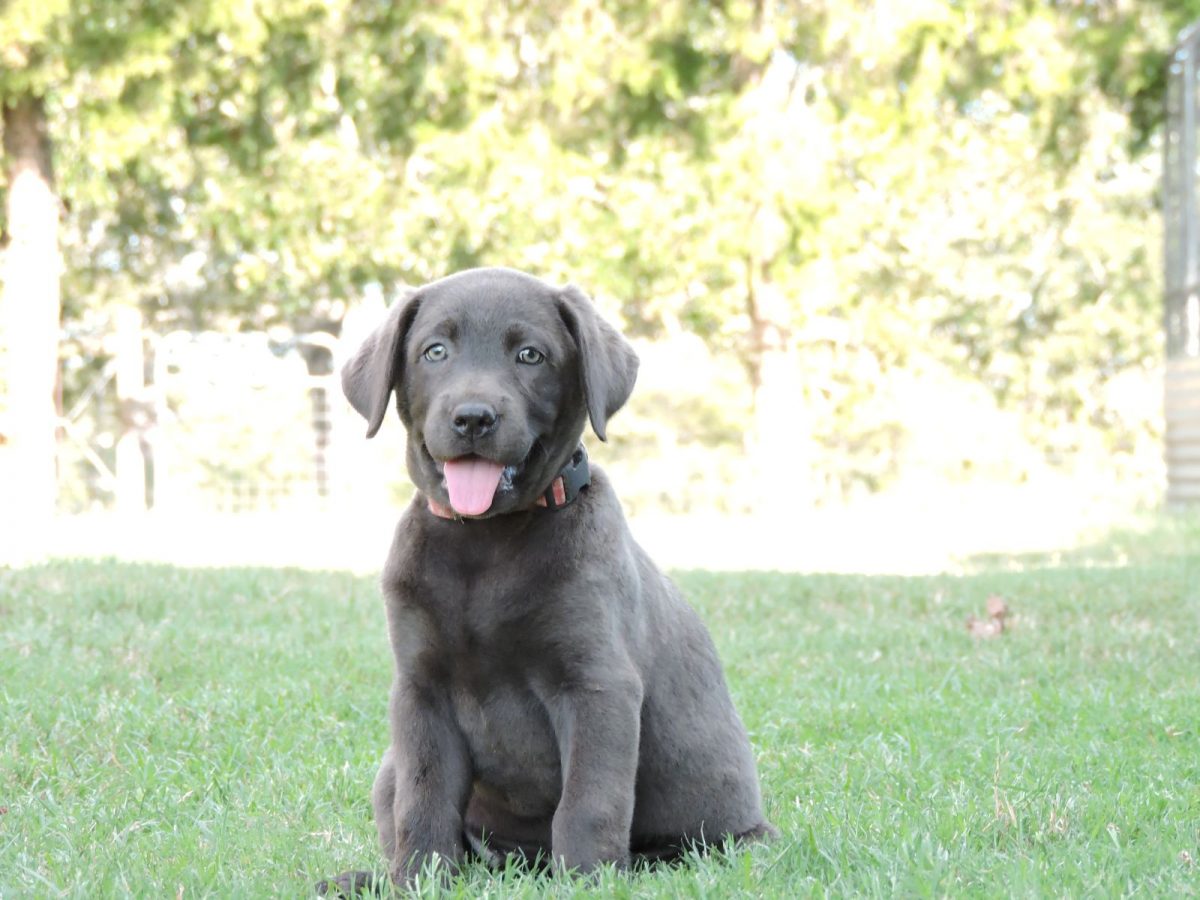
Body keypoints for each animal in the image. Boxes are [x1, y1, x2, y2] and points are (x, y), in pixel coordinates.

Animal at [321, 266, 768, 897]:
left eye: (530, 355)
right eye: (435, 351)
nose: (473, 417)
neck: (485, 544)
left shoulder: (597, 685)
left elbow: (588, 801)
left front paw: (586, 880)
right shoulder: (420, 690)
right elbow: (423, 799)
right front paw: (420, 881)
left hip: (726, 833)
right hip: (391, 765)